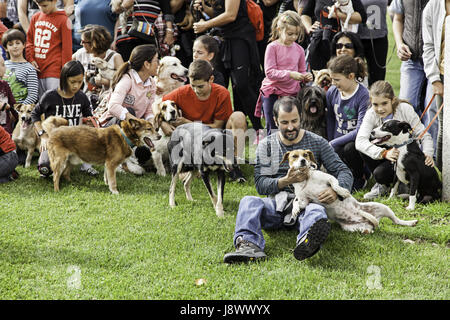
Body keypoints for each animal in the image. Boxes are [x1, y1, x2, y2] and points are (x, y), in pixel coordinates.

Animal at [282, 149, 418, 234]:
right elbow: (297, 202)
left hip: (383, 207)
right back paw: (366, 230)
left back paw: (411, 223)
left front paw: (343, 192)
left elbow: (335, 186)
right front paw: (294, 210)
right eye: (294, 156)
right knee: (370, 229)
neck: (306, 178)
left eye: (305, 155)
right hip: (352, 228)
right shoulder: (304, 200)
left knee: (397, 221)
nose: (303, 161)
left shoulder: (330, 178)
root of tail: (371, 221)